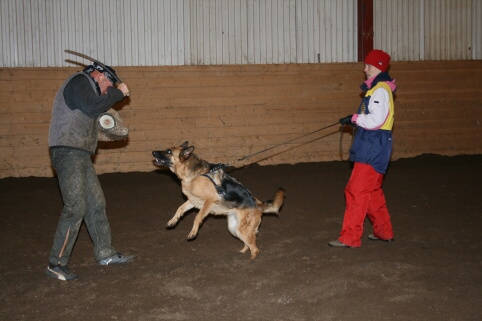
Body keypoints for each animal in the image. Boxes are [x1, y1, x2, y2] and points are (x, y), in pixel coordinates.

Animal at [153, 141, 284, 258]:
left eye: (169, 151)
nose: (153, 152)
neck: (194, 175)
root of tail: (259, 204)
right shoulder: (193, 201)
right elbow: (179, 209)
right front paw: (172, 222)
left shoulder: (210, 201)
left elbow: (197, 217)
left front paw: (193, 233)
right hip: (234, 228)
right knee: (248, 245)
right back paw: (240, 255)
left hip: (242, 230)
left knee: (255, 249)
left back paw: (249, 262)